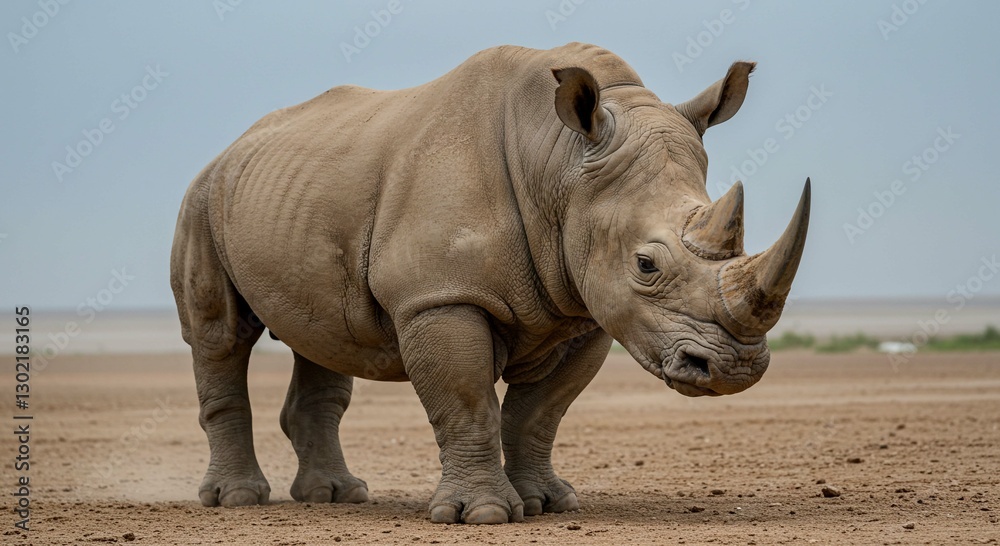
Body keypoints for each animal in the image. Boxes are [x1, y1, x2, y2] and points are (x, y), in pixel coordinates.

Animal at [170, 42, 809, 525]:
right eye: (646, 265)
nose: (734, 370)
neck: (560, 164)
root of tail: (232, 148)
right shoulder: (439, 297)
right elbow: (467, 400)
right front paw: (481, 515)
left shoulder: (585, 310)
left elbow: (539, 413)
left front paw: (549, 503)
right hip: (202, 198)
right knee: (219, 335)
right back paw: (237, 500)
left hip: (295, 191)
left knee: (321, 335)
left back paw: (338, 497)